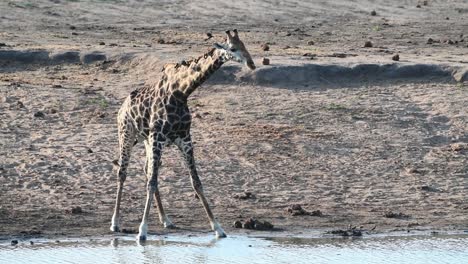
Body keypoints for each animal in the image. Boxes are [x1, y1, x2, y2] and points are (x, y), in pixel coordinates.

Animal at [109, 29, 256, 240]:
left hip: (146, 140)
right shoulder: (158, 138)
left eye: (245, 45)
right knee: (123, 172)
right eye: (233, 48)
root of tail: (122, 107)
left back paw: (166, 219)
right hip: (127, 135)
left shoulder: (185, 139)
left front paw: (218, 228)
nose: (251, 63)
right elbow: (152, 182)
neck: (180, 92)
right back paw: (115, 223)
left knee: (147, 170)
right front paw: (142, 231)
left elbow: (196, 182)